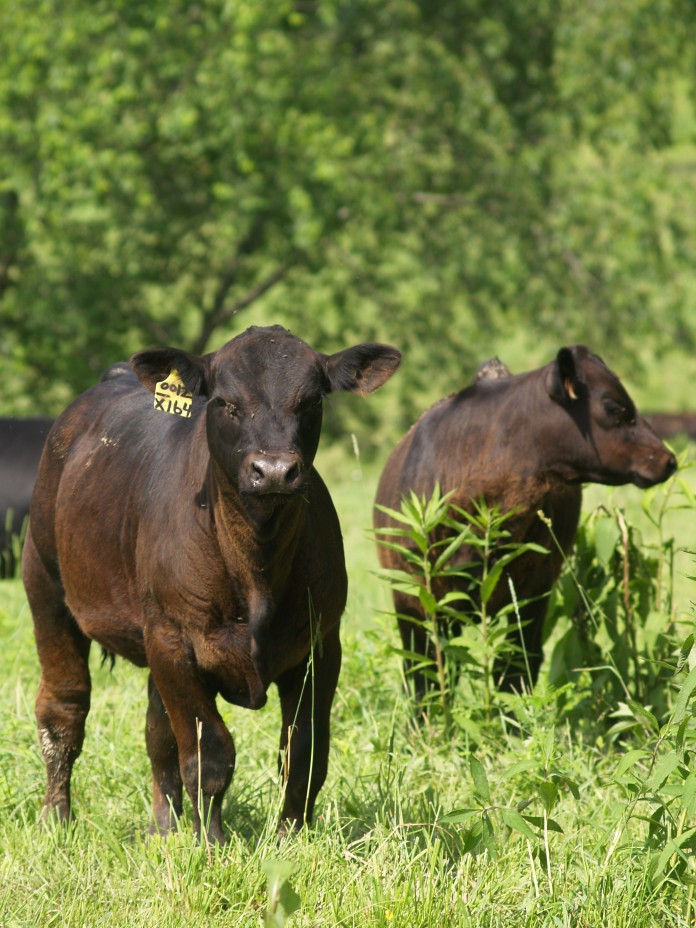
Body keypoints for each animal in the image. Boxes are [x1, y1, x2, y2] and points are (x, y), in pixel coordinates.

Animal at [23, 325, 401, 842]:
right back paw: (55, 819)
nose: (274, 470)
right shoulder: (175, 641)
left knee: (158, 733)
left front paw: (290, 838)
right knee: (64, 712)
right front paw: (213, 842)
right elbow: (210, 755)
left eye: (310, 401)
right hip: (46, 586)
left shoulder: (321, 643)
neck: (256, 562)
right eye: (225, 402)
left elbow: (304, 753)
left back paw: (164, 828)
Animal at [374, 346, 677, 704]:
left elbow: (514, 669)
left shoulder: (531, 595)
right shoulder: (413, 598)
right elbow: (426, 675)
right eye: (613, 406)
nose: (669, 459)